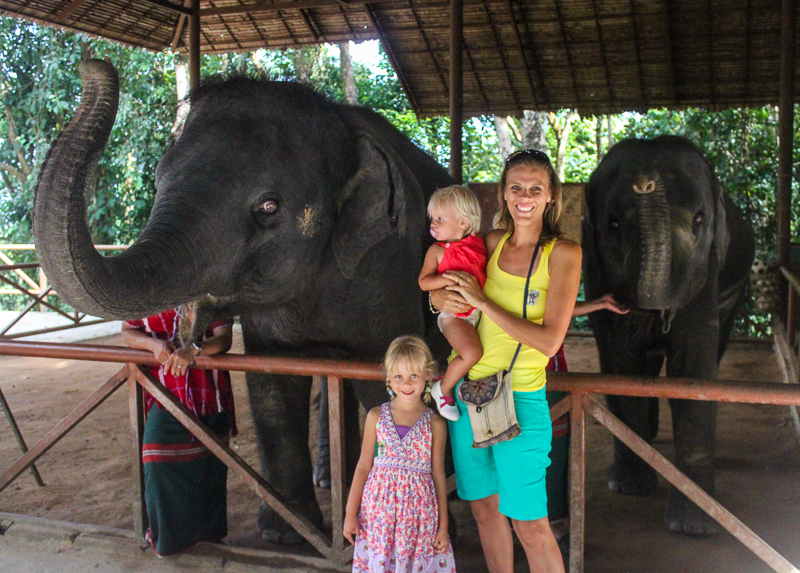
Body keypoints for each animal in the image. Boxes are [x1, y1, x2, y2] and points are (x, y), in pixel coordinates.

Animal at [32, 59, 450, 544]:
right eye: (156, 178)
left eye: (268, 207)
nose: (92, 64)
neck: (340, 125)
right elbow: (272, 382)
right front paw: (283, 536)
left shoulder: (387, 262)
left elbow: (377, 378)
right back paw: (328, 478)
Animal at [580, 135, 756, 536]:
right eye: (613, 224)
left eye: (699, 220)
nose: (645, 182)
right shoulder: (592, 269)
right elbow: (620, 362)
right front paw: (628, 487)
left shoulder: (708, 273)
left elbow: (692, 371)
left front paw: (693, 526)